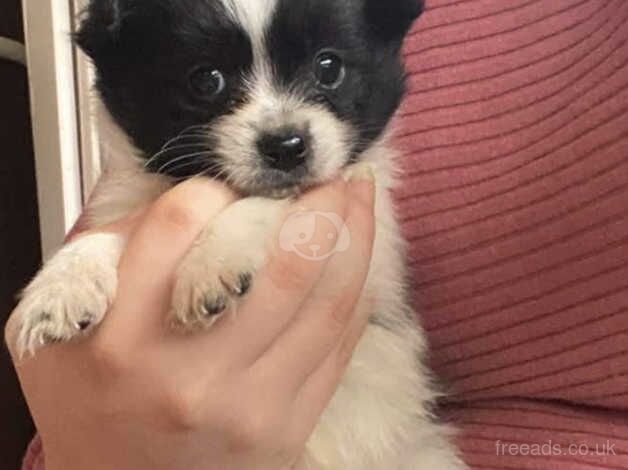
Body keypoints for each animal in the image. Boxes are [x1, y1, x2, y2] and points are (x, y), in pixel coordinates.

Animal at [9, 1, 466, 468]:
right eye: (206, 80)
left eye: (329, 67)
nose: (286, 146)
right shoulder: (131, 203)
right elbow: (105, 235)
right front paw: (61, 286)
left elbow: (270, 203)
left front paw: (212, 261)